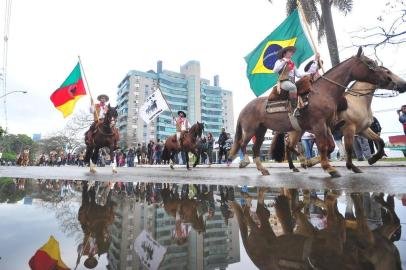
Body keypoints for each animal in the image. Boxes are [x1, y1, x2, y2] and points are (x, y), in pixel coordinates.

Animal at [230, 47, 404, 177]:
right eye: (369, 63)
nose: (398, 83)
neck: (324, 92)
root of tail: (245, 108)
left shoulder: (332, 126)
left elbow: (330, 146)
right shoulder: (327, 126)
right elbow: (326, 146)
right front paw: (330, 168)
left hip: (264, 130)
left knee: (262, 148)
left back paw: (269, 168)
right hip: (251, 130)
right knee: (243, 144)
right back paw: (246, 161)